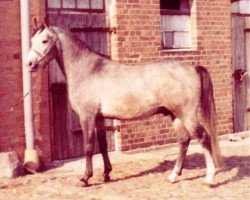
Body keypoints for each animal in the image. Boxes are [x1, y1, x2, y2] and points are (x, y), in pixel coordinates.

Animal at [26, 21, 223, 186]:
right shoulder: (99, 118)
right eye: (32, 40)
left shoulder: (87, 117)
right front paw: (106, 174)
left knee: (203, 138)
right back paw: (173, 176)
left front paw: (85, 178)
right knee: (184, 141)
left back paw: (209, 177)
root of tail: (193, 67)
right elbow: (103, 145)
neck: (88, 70)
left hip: (187, 115)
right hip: (175, 115)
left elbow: (88, 147)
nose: (29, 64)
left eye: (44, 40)